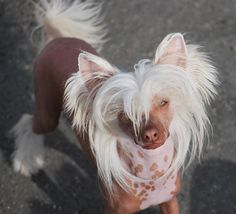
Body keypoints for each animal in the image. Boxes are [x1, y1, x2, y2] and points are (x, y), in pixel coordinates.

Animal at [10, 0, 218, 213]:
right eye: (125, 114)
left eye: (163, 102)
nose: (150, 134)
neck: (150, 171)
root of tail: (58, 39)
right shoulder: (114, 209)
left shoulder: (170, 200)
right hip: (48, 113)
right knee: (28, 121)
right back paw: (26, 160)